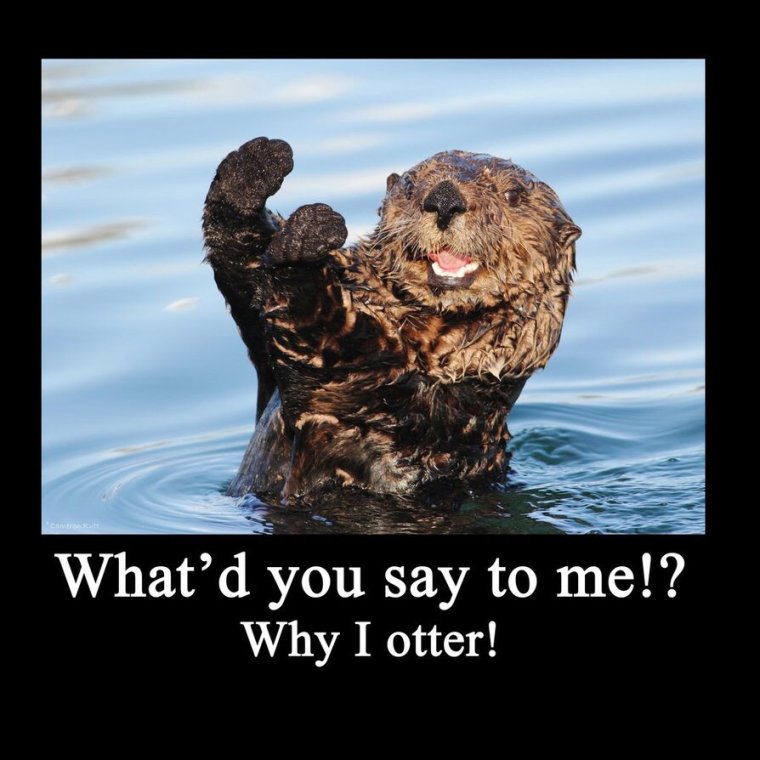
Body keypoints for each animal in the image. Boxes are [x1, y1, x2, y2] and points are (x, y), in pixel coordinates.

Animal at [203, 137, 580, 503]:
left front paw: (305, 240)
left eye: (513, 195)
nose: (444, 199)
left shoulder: (381, 393)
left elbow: (322, 331)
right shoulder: (266, 357)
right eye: (410, 186)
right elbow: (245, 276)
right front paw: (254, 168)